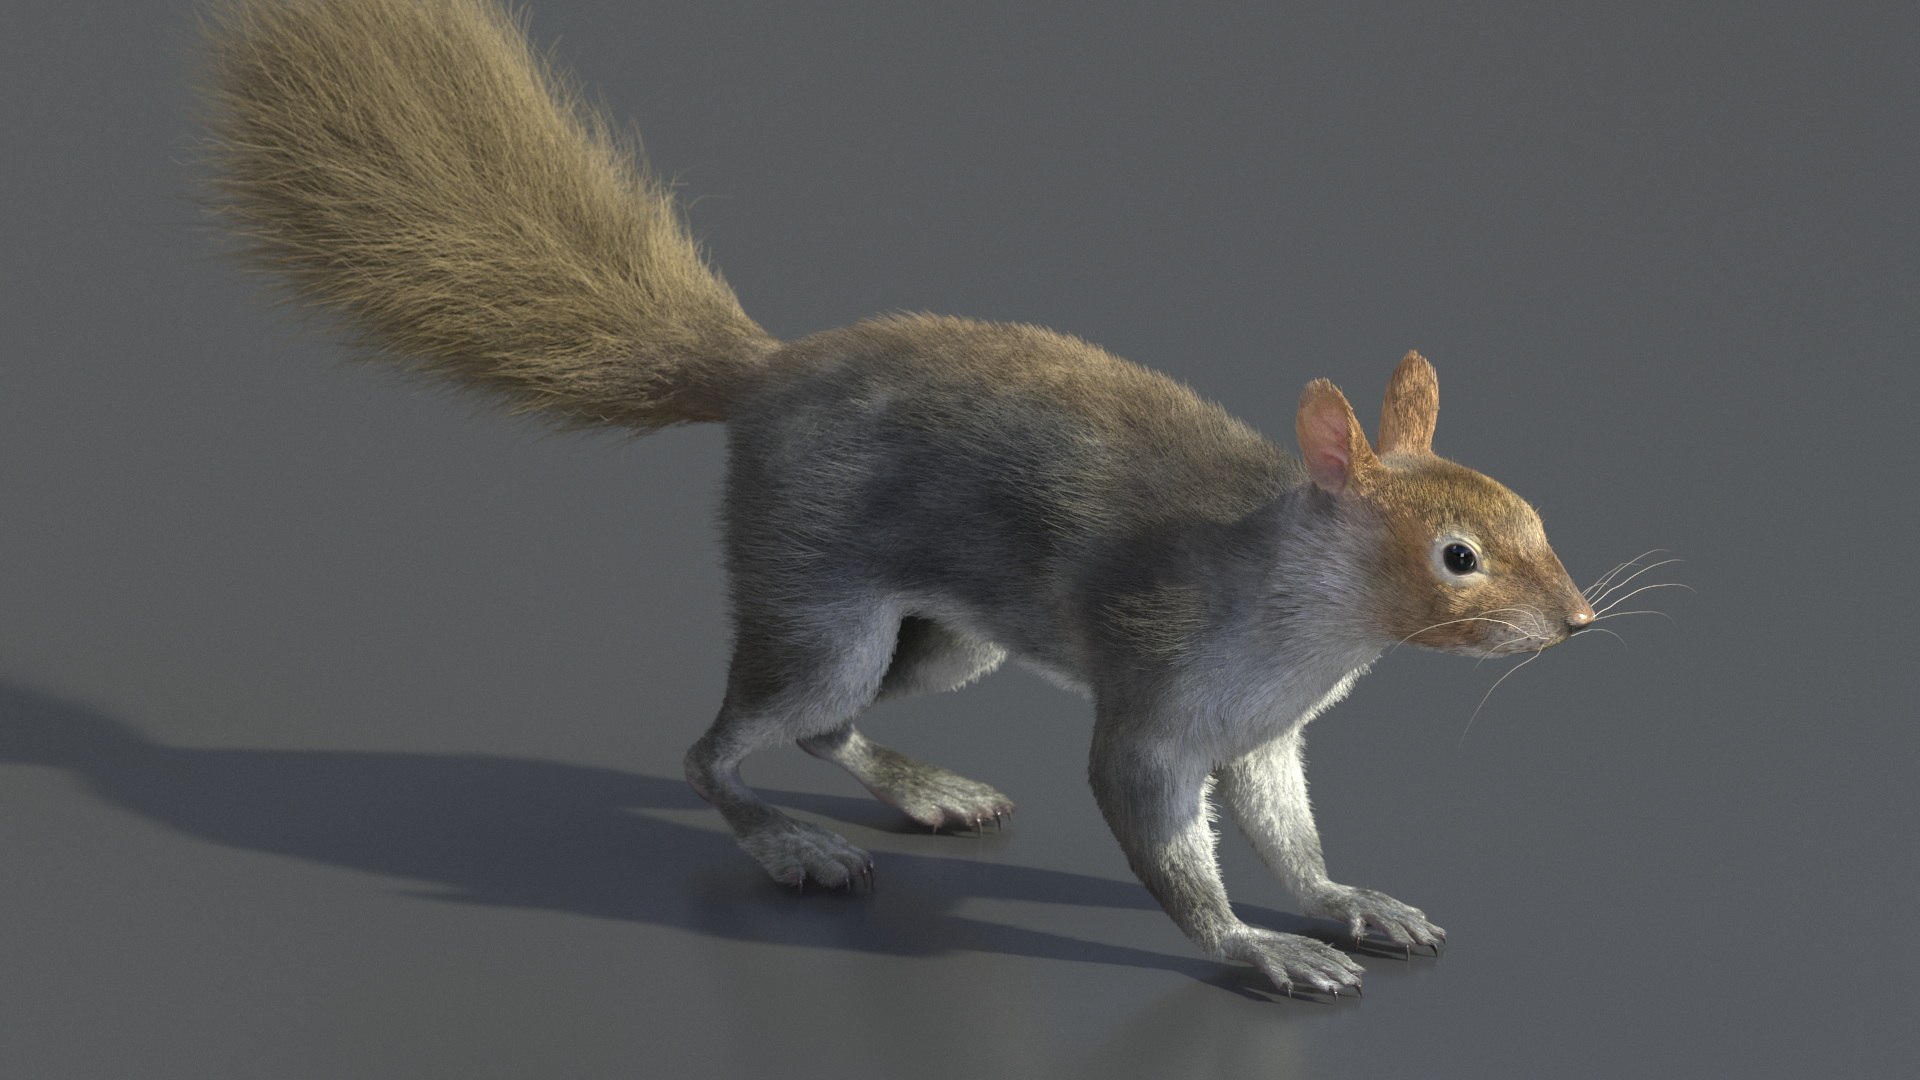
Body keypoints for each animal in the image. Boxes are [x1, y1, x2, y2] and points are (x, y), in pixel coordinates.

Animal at [197, 0, 1597, 997]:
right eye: (1460, 554)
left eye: (1532, 515)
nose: (1580, 625)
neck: (1309, 624)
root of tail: (763, 375)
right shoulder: (1159, 687)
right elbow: (1156, 828)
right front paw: (1255, 948)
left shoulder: (1260, 735)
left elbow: (1286, 832)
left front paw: (1343, 903)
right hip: (819, 605)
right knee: (725, 746)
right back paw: (796, 846)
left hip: (948, 643)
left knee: (827, 729)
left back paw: (927, 790)